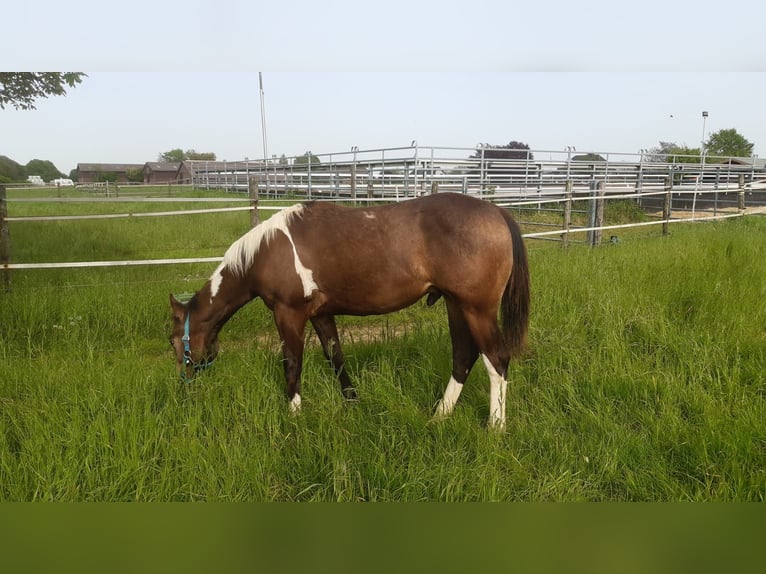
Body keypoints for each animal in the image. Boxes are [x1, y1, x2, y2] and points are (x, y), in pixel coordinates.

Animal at [169, 194, 532, 432]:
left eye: (174, 342)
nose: (184, 386)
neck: (266, 251)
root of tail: (497, 212)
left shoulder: (289, 314)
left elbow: (292, 363)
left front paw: (294, 415)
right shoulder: (321, 314)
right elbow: (336, 357)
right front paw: (353, 403)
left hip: (476, 310)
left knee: (496, 359)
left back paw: (495, 428)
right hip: (456, 305)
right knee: (463, 357)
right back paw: (439, 416)